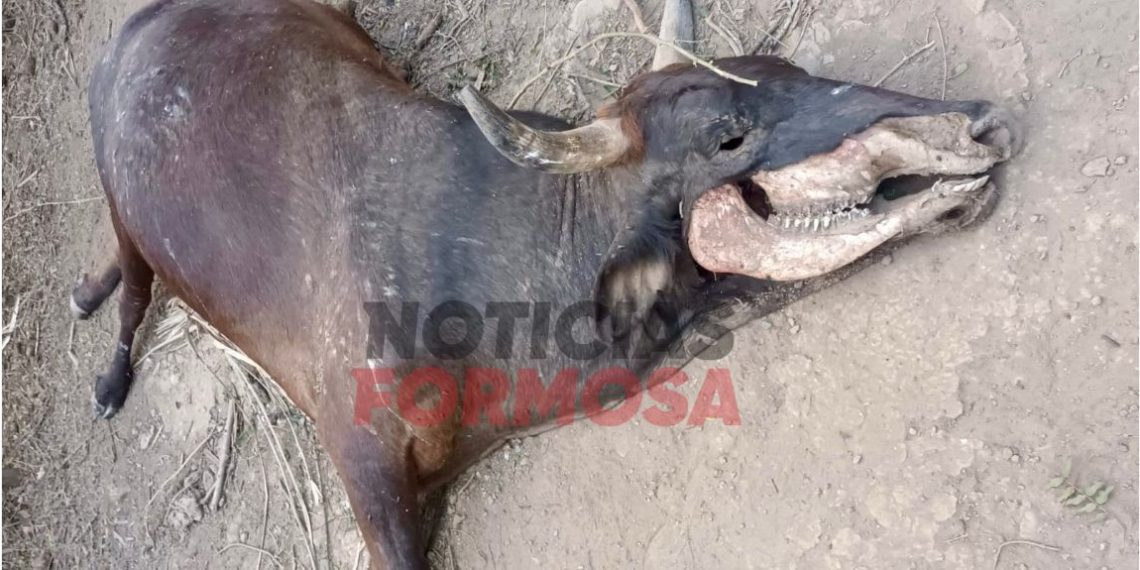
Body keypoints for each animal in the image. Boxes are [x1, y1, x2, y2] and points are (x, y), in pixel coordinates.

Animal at [72, 0, 1019, 567]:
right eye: (727, 134)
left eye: (784, 69)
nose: (979, 122)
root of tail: (138, 27)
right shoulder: (365, 470)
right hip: (124, 211)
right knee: (134, 284)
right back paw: (107, 362)